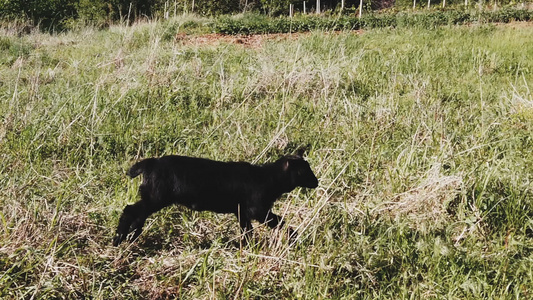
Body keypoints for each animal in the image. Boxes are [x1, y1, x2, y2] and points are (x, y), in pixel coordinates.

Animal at [112, 149, 318, 246]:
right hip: (156, 197)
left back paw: (131, 237)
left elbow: (246, 231)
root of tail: (150, 163)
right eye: (303, 171)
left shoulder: (241, 212)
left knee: (137, 215)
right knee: (130, 211)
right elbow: (280, 221)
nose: (316, 182)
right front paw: (294, 236)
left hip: (152, 198)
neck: (268, 178)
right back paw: (119, 239)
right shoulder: (257, 209)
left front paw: (248, 247)